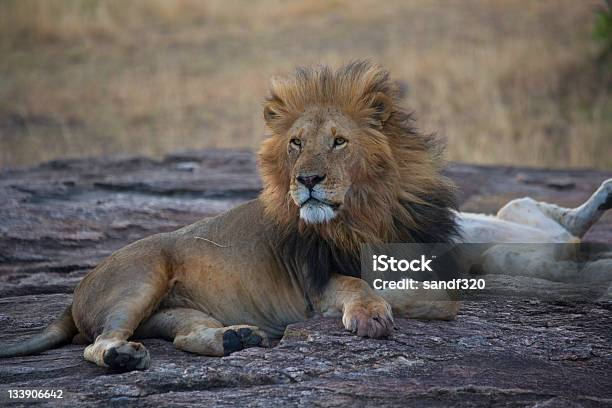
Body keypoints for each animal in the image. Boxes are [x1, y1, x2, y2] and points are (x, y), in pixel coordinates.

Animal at [1, 61, 612, 370]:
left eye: (339, 141)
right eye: (295, 143)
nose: (308, 180)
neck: (367, 212)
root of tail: (74, 295)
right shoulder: (317, 283)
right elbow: (359, 286)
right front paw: (373, 314)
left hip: (175, 311)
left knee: (182, 336)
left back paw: (235, 340)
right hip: (142, 274)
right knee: (97, 344)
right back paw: (127, 356)